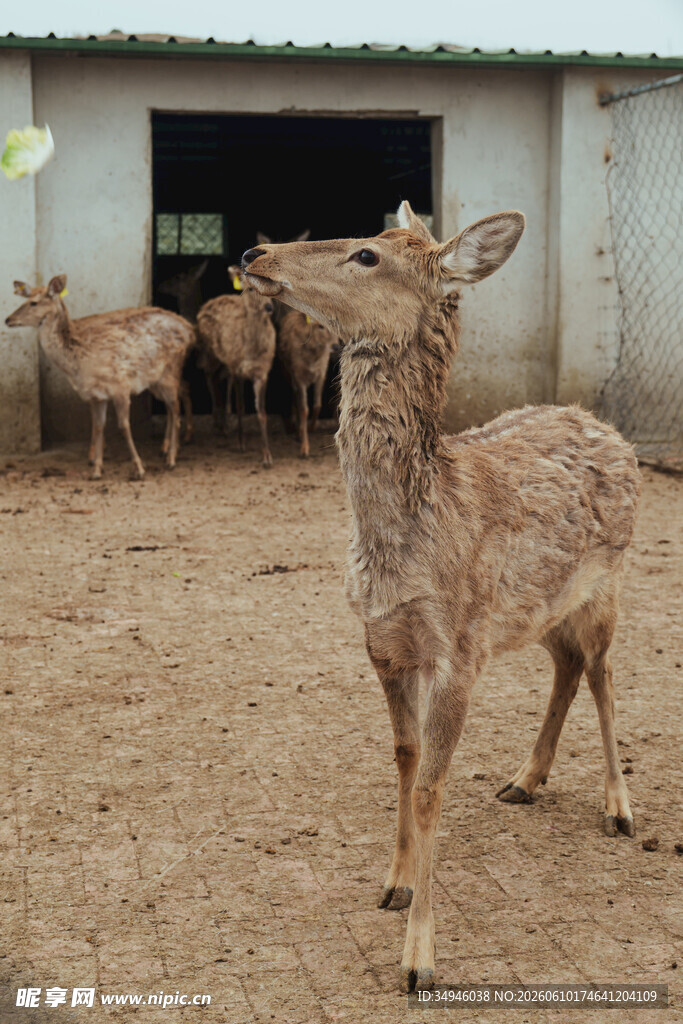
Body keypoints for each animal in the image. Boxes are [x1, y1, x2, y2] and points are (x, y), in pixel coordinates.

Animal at [6, 276, 194, 479]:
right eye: (24, 299)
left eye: (33, 302)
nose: (8, 319)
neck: (79, 365)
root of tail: (190, 330)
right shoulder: (95, 395)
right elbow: (98, 426)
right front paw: (96, 469)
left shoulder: (121, 387)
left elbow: (123, 426)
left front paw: (139, 468)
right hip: (156, 381)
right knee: (174, 404)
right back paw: (168, 451)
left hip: (170, 372)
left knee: (175, 408)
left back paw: (172, 457)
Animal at [196, 267, 276, 466]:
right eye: (250, 289)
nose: (269, 308)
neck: (251, 351)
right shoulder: (238, 369)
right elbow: (241, 407)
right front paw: (241, 443)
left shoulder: (262, 372)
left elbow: (261, 412)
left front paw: (267, 456)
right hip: (209, 353)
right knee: (209, 377)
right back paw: (218, 421)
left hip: (226, 363)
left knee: (220, 379)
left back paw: (224, 421)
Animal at [276, 309, 336, 457]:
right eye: (320, 326)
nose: (336, 346)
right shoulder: (298, 377)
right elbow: (304, 409)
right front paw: (304, 449)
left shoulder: (321, 373)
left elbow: (317, 405)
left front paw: (311, 427)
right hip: (286, 371)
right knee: (294, 398)